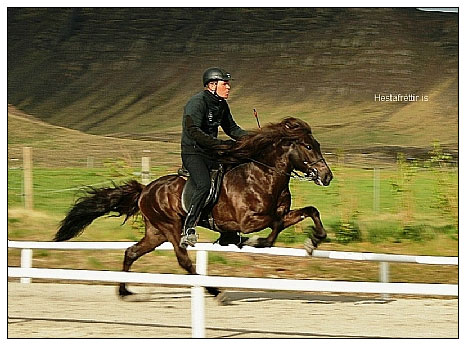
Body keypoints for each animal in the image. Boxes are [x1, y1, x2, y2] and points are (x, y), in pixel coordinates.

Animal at [53, 117, 332, 296]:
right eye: (308, 146)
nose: (327, 176)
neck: (263, 176)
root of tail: (145, 190)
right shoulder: (248, 221)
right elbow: (273, 227)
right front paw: (257, 242)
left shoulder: (283, 213)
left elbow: (309, 211)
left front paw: (314, 241)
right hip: (171, 227)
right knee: (184, 260)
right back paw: (213, 290)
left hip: (155, 233)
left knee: (131, 252)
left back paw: (124, 290)